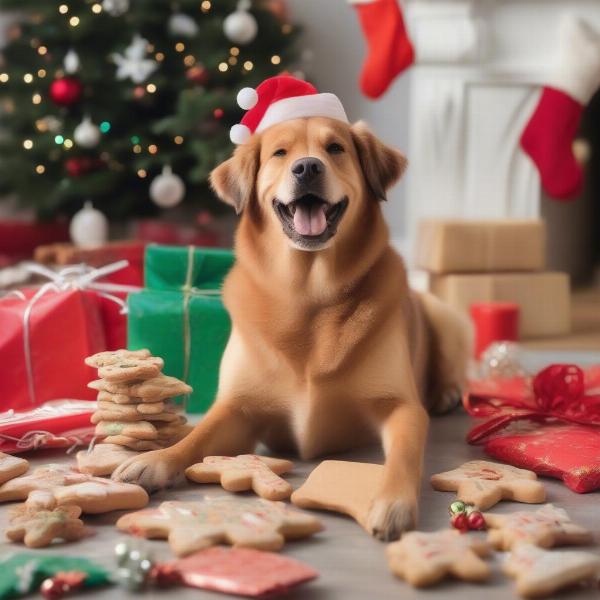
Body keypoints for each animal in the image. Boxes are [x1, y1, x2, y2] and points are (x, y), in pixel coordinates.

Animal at [112, 112, 468, 540]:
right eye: (280, 153)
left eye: (335, 148)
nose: (308, 167)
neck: (308, 297)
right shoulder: (237, 409)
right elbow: (196, 436)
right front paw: (156, 459)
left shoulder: (402, 408)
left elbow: (403, 456)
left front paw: (393, 501)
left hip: (446, 317)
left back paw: (447, 393)